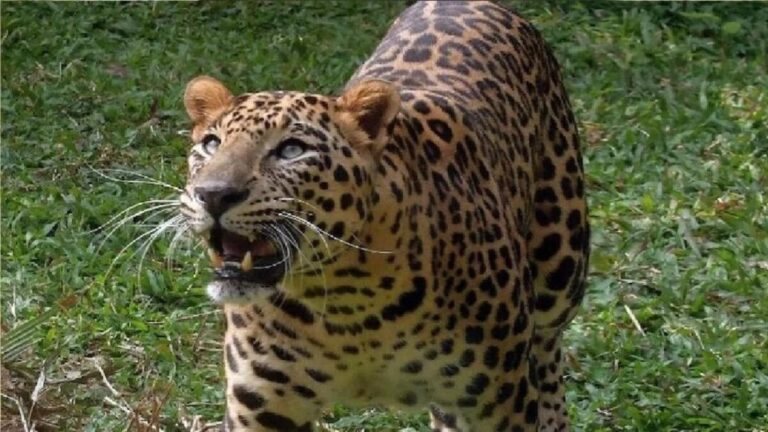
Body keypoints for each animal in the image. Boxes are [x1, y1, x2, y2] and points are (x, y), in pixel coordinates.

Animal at [178, 1, 588, 431]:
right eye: (211, 144)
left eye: (291, 150)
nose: (213, 195)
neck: (349, 303)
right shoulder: (262, 408)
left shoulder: (496, 403)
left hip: (561, 270)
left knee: (548, 355)